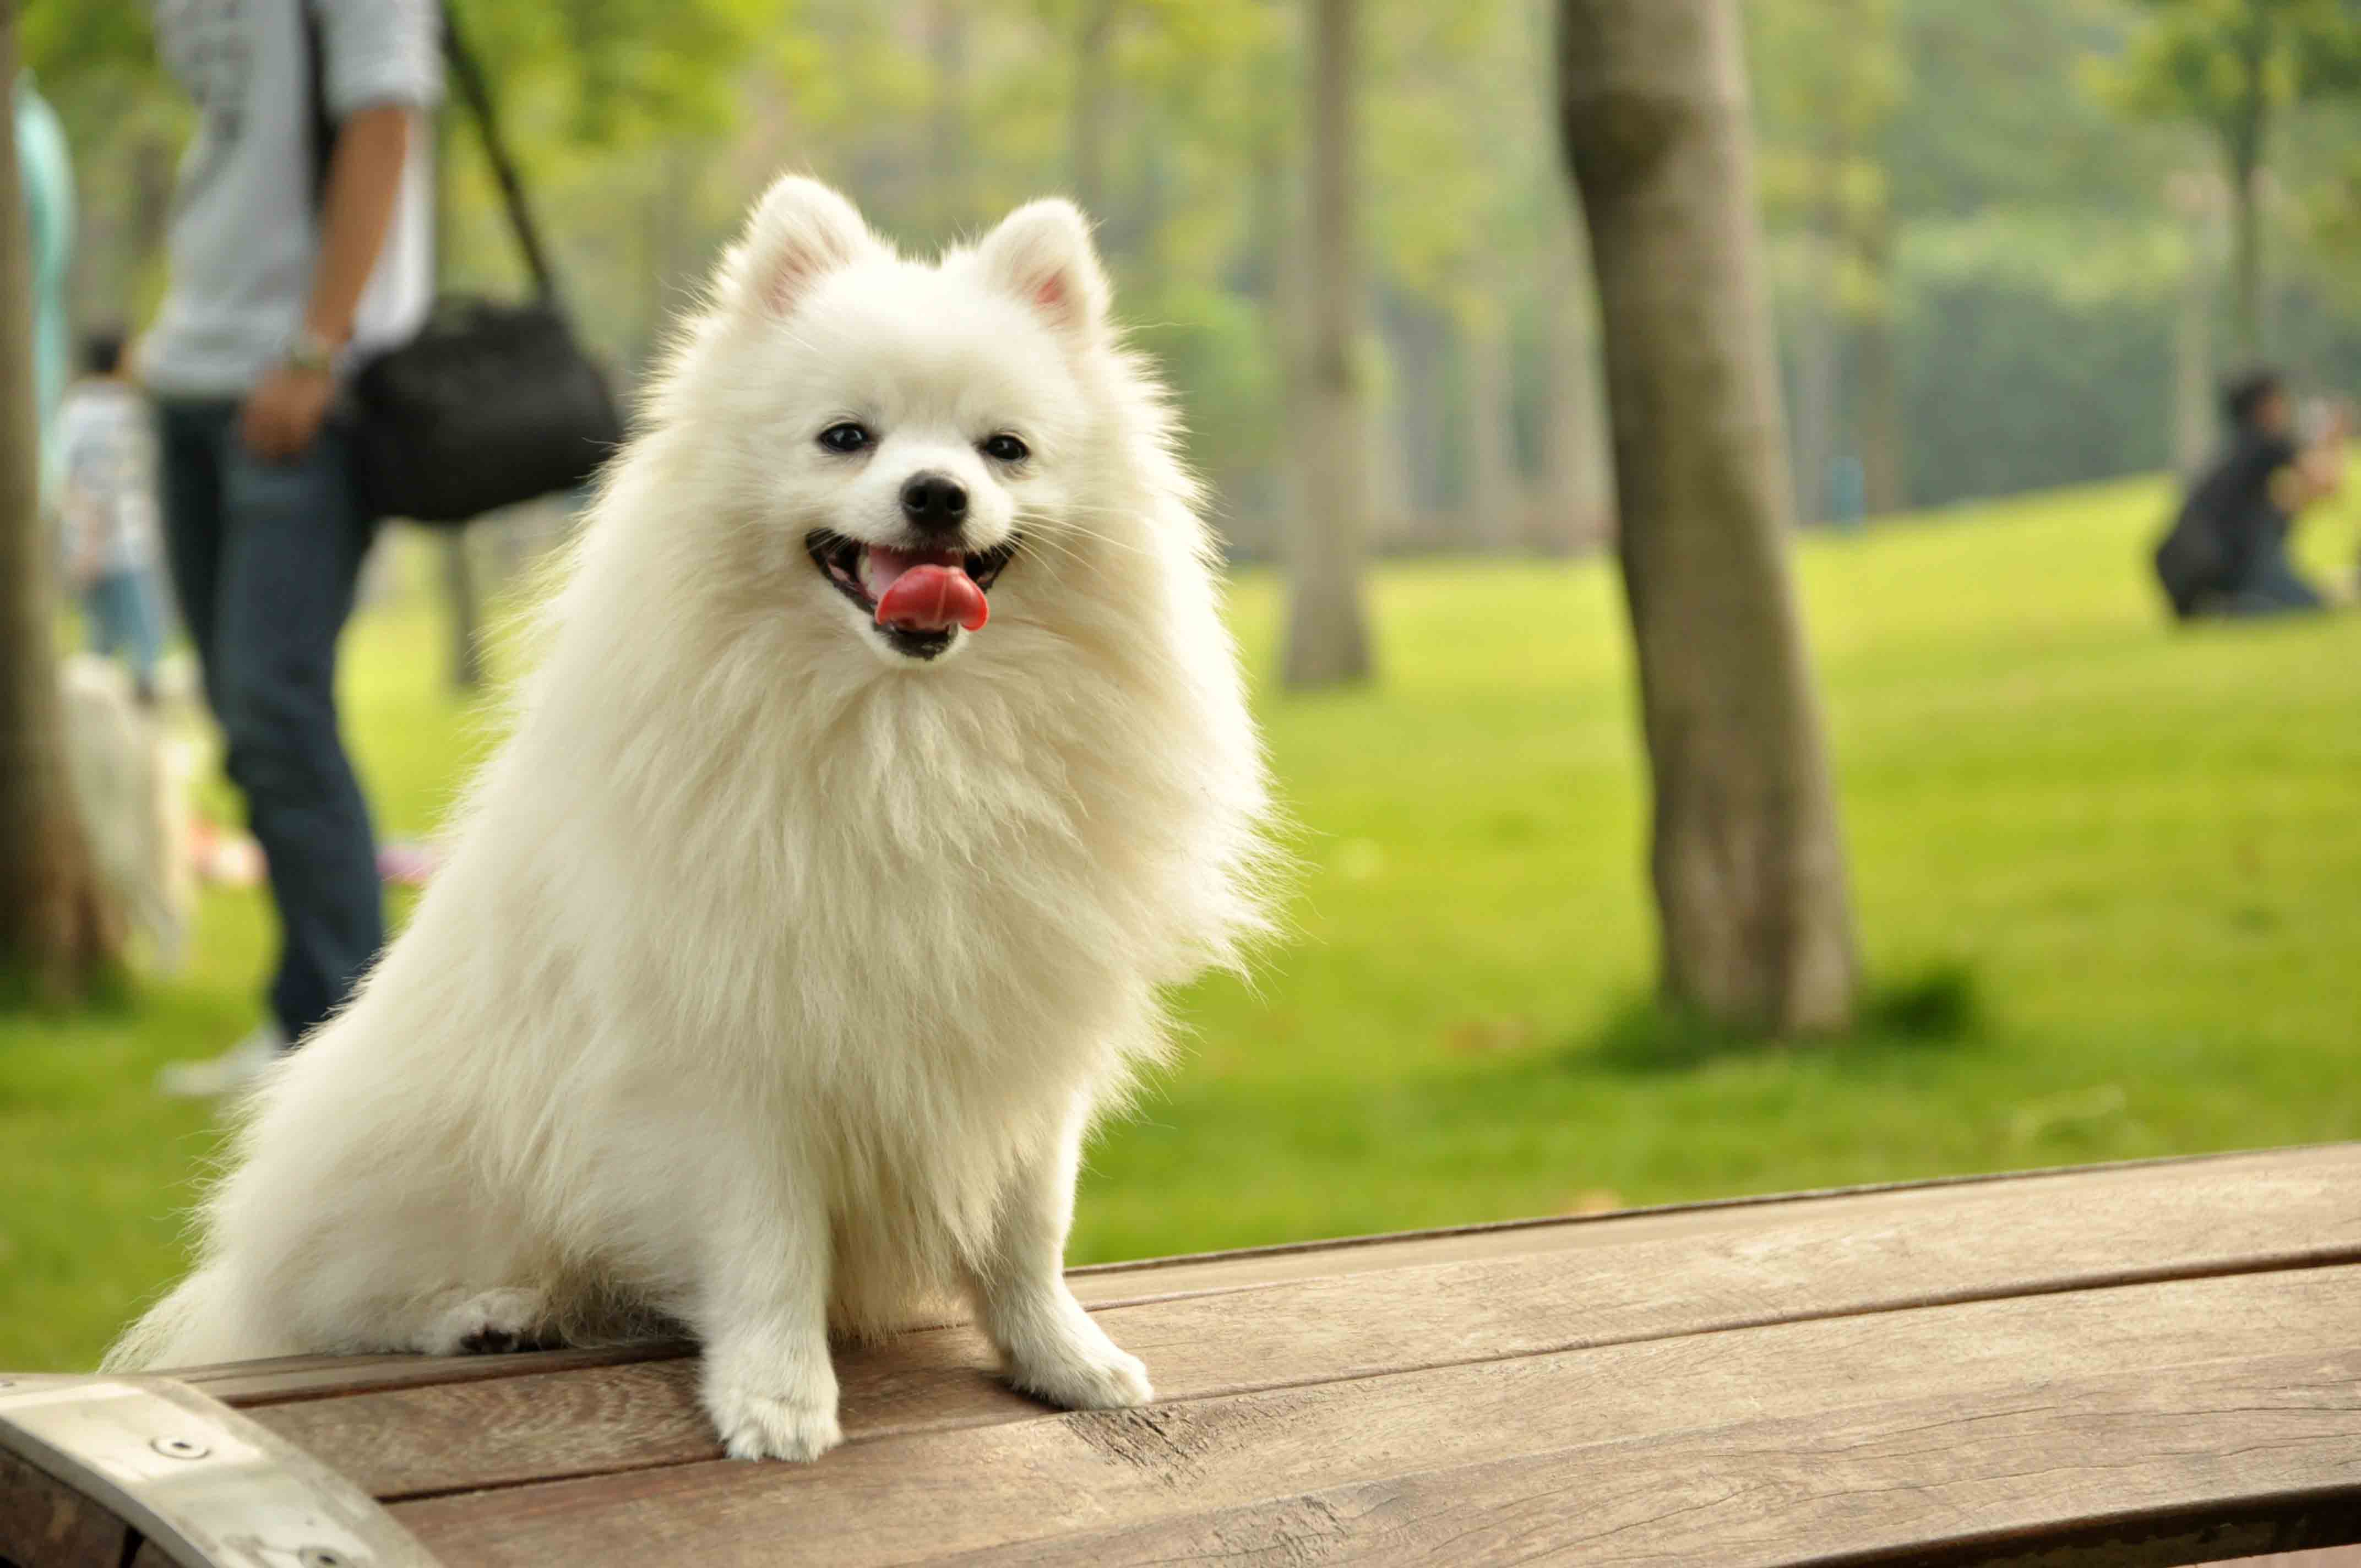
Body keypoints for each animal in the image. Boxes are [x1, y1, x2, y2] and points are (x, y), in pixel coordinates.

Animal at [115, 177, 1275, 1464]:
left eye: (1003, 449)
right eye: (846, 437)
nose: (937, 493)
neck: (908, 740)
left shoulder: (1018, 1037)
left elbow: (1028, 1228)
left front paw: (1060, 1358)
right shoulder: (728, 1054)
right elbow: (769, 1245)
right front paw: (777, 1398)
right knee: (333, 1299)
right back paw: (485, 1311)